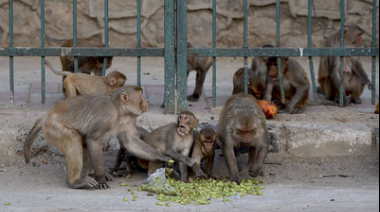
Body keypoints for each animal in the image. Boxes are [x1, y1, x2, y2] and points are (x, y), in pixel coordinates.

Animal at [24, 86, 170, 189]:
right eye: (140, 96)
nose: (146, 101)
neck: (119, 111)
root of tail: (47, 116)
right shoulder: (106, 118)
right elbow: (93, 141)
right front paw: (100, 179)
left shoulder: (128, 120)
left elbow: (130, 143)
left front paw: (162, 157)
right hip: (54, 127)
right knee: (74, 139)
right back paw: (75, 181)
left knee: (84, 145)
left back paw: (87, 175)